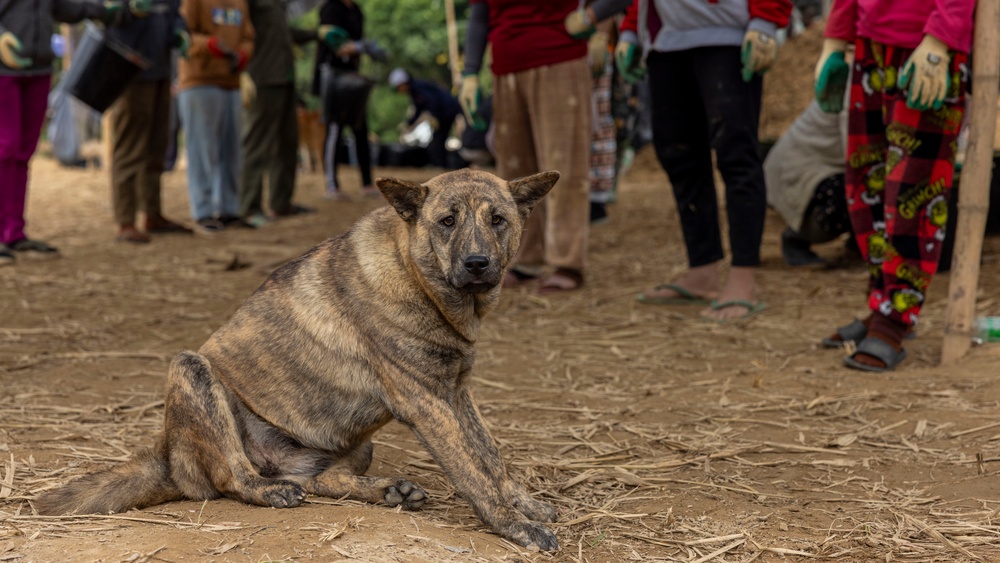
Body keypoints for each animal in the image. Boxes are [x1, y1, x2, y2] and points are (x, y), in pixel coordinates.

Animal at [35, 169, 564, 552]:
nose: (477, 264)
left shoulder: (456, 393)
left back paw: (384, 491)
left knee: (324, 479)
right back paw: (270, 490)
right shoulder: (427, 403)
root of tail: (169, 456)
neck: (417, 277)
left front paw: (526, 504)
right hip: (192, 372)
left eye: (497, 219)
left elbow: (490, 455)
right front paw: (514, 525)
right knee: (233, 477)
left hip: (355, 445)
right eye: (447, 221)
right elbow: (475, 472)